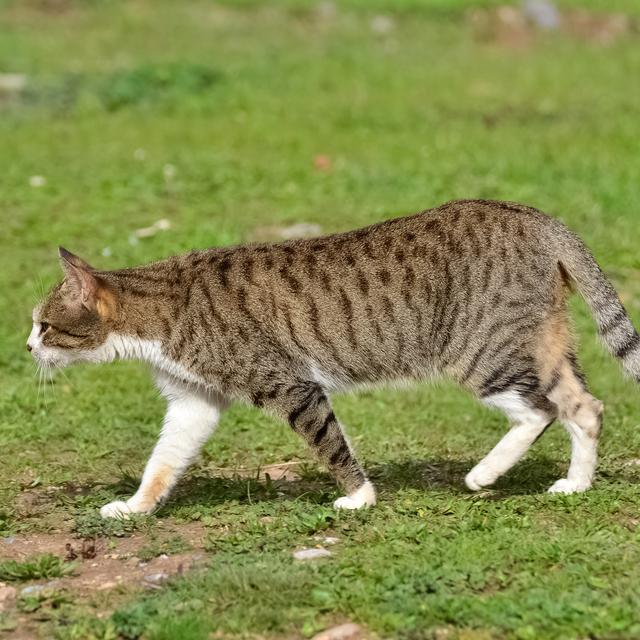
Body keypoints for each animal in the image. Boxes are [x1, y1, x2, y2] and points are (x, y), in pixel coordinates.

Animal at [26, 199, 640, 516]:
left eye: (44, 324)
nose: (27, 346)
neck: (156, 309)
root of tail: (535, 215)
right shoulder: (194, 400)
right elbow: (163, 461)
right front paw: (135, 507)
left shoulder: (290, 384)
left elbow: (330, 443)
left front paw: (360, 497)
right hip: (545, 342)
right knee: (584, 407)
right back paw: (574, 486)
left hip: (480, 351)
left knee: (540, 410)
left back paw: (483, 474)